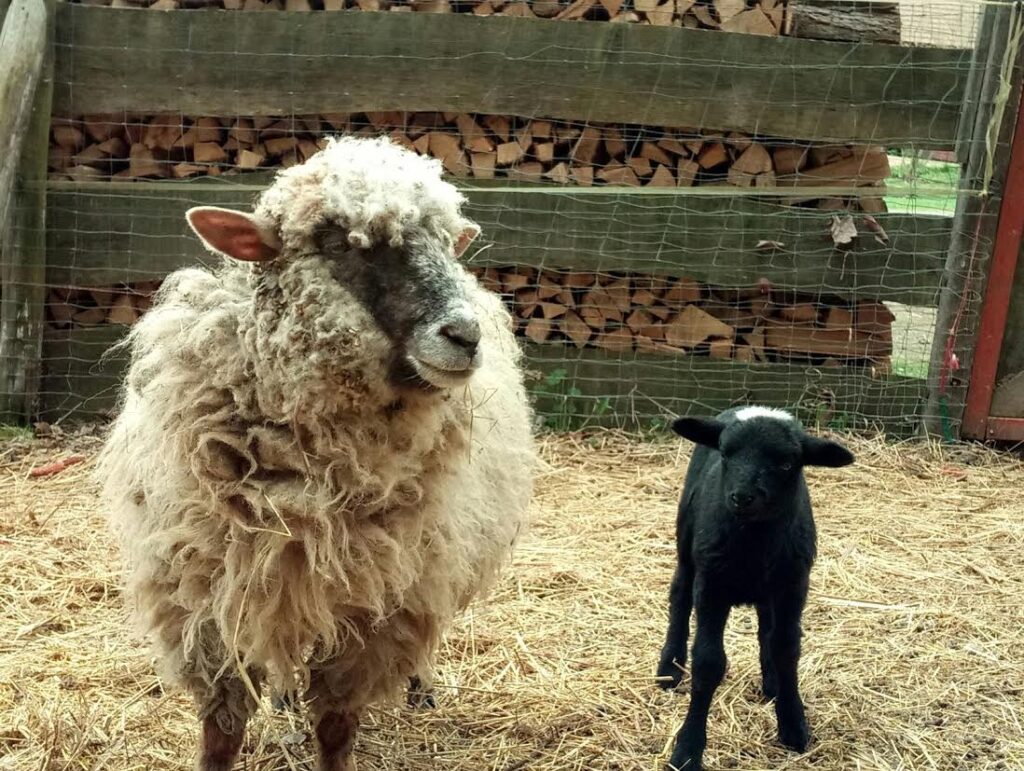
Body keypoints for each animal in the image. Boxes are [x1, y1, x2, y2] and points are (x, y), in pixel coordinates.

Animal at [97, 135, 536, 769]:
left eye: (446, 241)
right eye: (337, 241)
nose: (465, 337)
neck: (300, 484)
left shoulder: (376, 614)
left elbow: (333, 727)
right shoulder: (207, 602)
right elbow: (222, 729)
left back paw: (421, 687)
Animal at [655, 405, 856, 765]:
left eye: (787, 463)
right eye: (725, 453)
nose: (742, 497)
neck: (754, 541)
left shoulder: (793, 585)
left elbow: (787, 649)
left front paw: (793, 724)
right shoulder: (712, 585)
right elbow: (708, 661)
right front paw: (688, 749)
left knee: (767, 628)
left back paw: (772, 682)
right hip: (687, 547)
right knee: (679, 595)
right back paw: (669, 667)